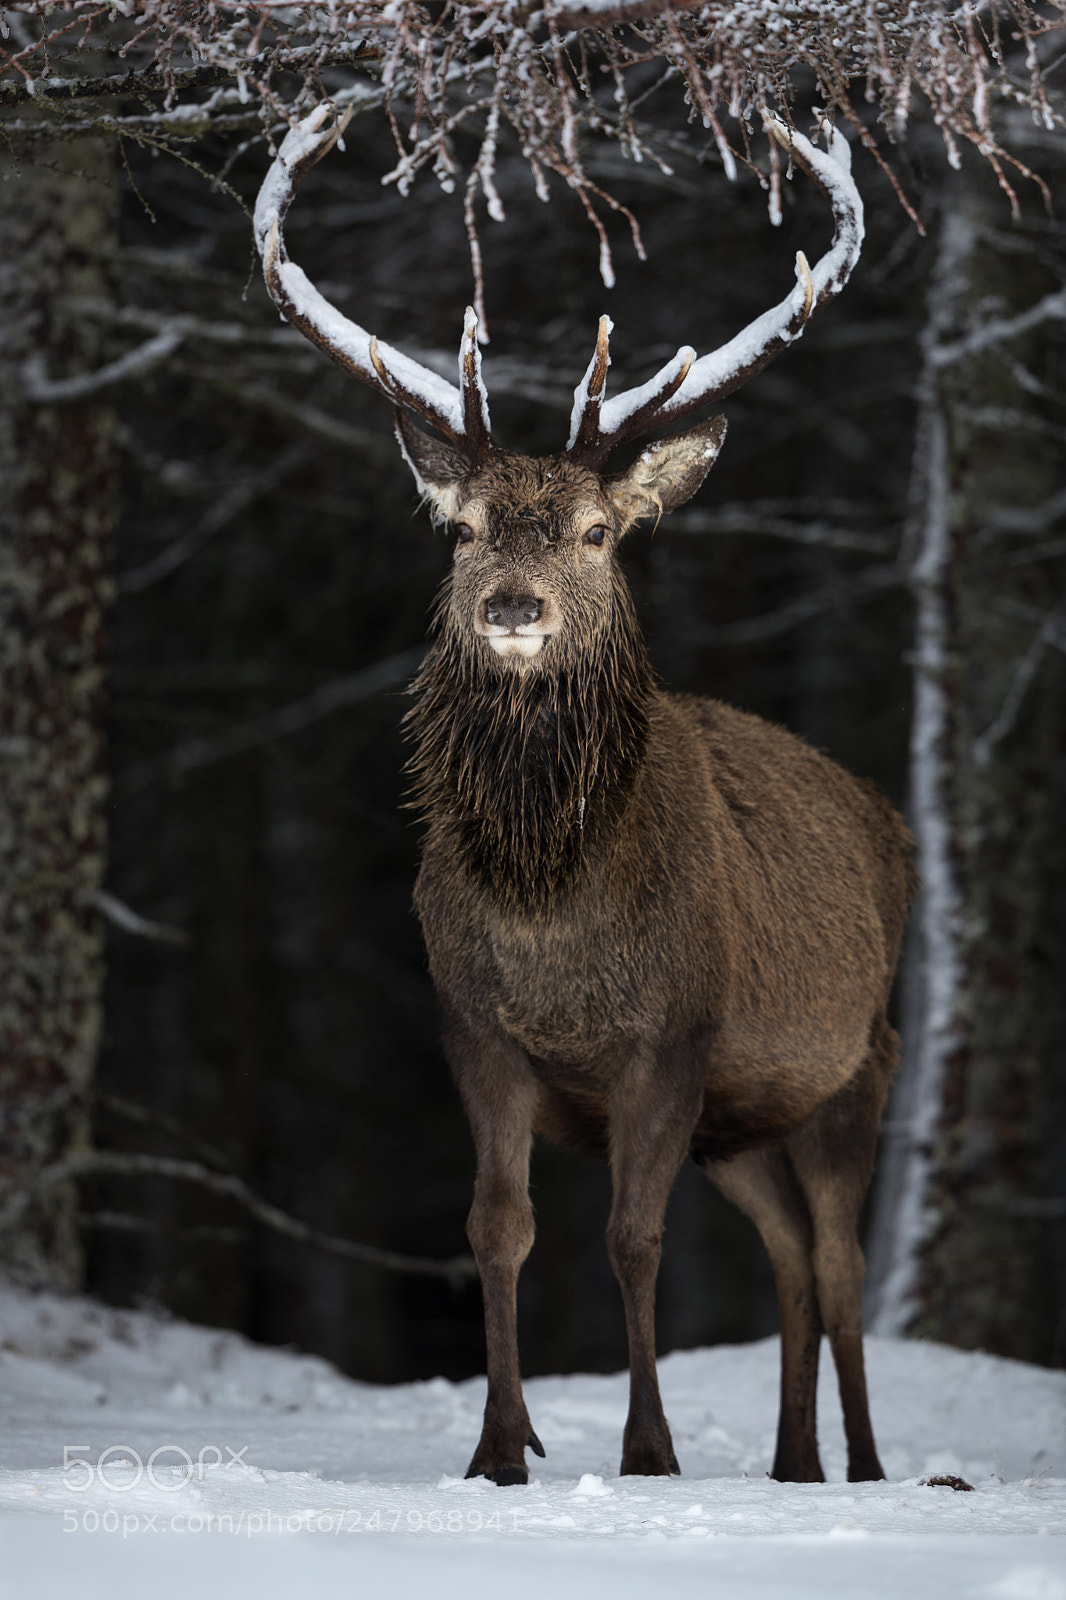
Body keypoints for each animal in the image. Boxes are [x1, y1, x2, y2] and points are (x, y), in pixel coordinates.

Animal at [254, 104, 915, 1488]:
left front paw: (649, 1452)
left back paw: (867, 1466)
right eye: (459, 530)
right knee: (787, 1253)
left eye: (598, 533)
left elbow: (630, 1236)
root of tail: (884, 820)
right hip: (743, 1122)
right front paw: (499, 1451)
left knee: (839, 1261)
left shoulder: (671, 1032)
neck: (551, 922)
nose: (515, 605)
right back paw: (792, 1463)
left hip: (855, 1064)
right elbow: (495, 1227)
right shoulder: (472, 1027)